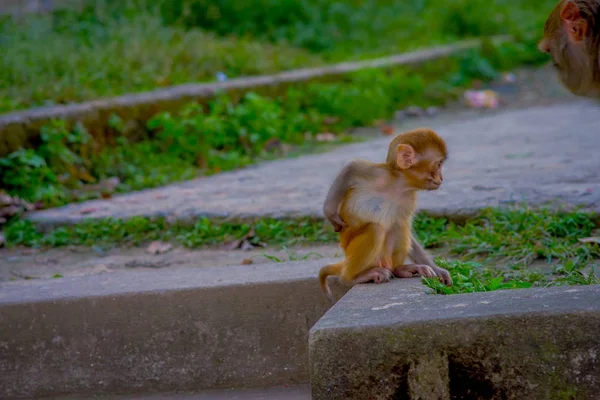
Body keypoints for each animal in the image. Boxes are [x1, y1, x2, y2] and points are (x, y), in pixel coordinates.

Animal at [318, 127, 450, 300]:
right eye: (439, 164)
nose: (441, 177)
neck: (398, 185)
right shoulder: (375, 173)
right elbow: (351, 167)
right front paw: (330, 212)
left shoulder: (409, 198)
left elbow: (404, 223)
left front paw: (437, 269)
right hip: (353, 253)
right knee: (375, 229)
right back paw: (352, 277)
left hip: (385, 257)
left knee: (399, 225)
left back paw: (400, 269)